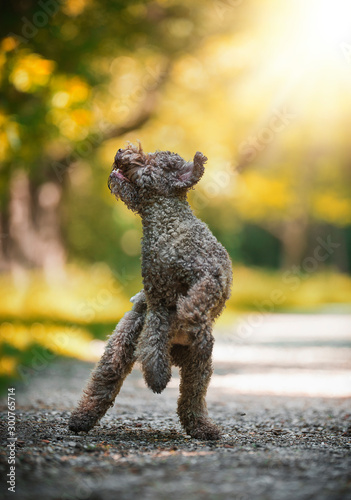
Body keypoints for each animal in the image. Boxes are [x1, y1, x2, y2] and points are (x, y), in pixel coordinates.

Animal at [69, 143, 234, 440]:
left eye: (148, 161)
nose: (120, 150)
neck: (165, 224)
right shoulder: (157, 298)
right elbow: (154, 338)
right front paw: (157, 374)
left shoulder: (211, 274)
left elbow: (199, 297)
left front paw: (188, 312)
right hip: (121, 346)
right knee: (104, 380)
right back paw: (82, 417)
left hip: (200, 362)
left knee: (192, 397)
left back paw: (202, 427)